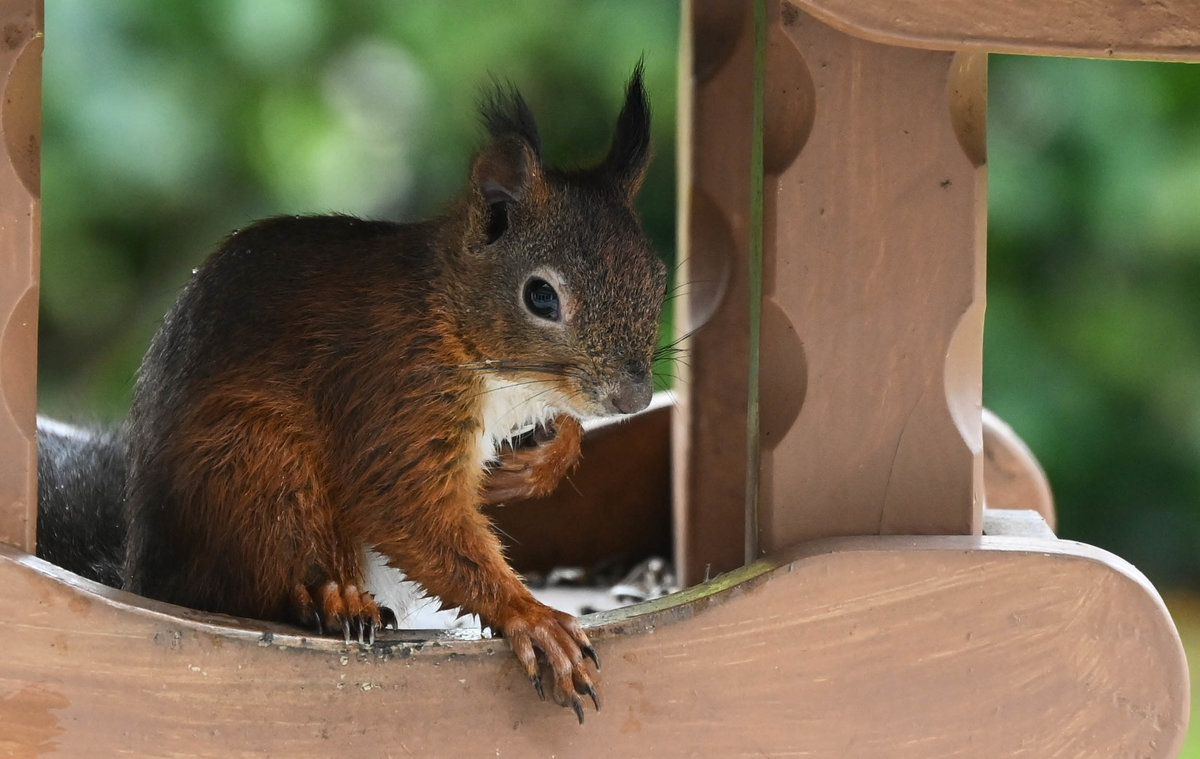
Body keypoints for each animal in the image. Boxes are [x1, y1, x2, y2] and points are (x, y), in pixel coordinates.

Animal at [92, 63, 666, 722]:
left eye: (658, 278)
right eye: (541, 296)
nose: (633, 399)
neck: (452, 317)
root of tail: (146, 577)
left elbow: (561, 428)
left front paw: (533, 464)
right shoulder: (393, 384)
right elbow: (403, 506)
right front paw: (531, 616)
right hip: (257, 462)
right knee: (261, 578)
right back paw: (332, 598)